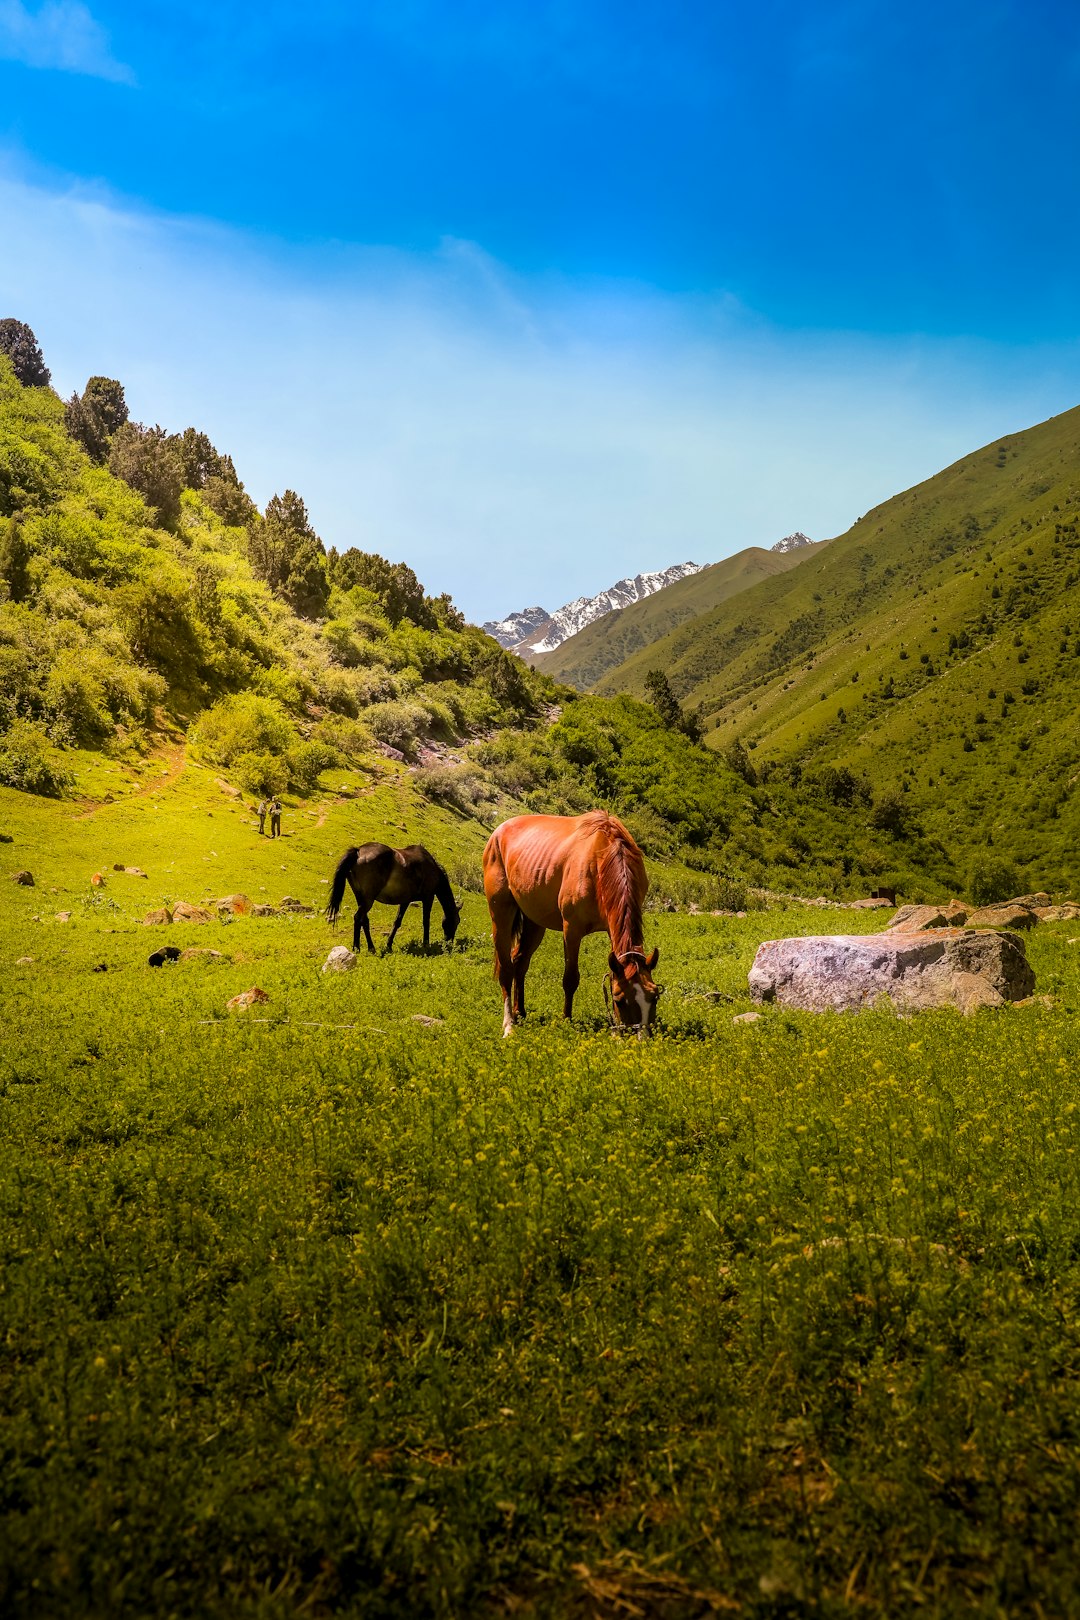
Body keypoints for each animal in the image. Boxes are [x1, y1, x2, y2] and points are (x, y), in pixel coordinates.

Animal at [325, 842, 459, 952]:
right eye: (457, 921)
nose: (449, 941)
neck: (433, 868)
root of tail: (358, 851)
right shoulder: (428, 897)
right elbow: (426, 921)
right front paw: (426, 944)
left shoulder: (405, 901)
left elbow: (397, 922)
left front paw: (389, 945)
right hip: (368, 900)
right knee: (358, 918)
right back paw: (356, 947)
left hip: (361, 898)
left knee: (364, 920)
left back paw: (371, 948)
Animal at [485, 810, 663, 1036]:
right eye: (619, 1000)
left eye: (654, 996)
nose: (641, 1037)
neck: (602, 856)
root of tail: (498, 832)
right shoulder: (571, 930)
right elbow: (570, 979)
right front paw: (567, 1020)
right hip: (501, 914)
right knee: (506, 969)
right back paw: (509, 1024)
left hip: (535, 921)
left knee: (520, 961)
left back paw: (520, 1011)